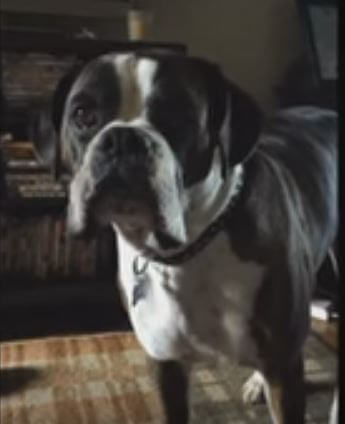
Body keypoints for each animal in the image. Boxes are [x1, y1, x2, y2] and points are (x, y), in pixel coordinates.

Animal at [30, 51, 338, 422]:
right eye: (82, 115)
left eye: (178, 116)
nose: (123, 139)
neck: (191, 250)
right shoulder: (165, 366)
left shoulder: (283, 370)